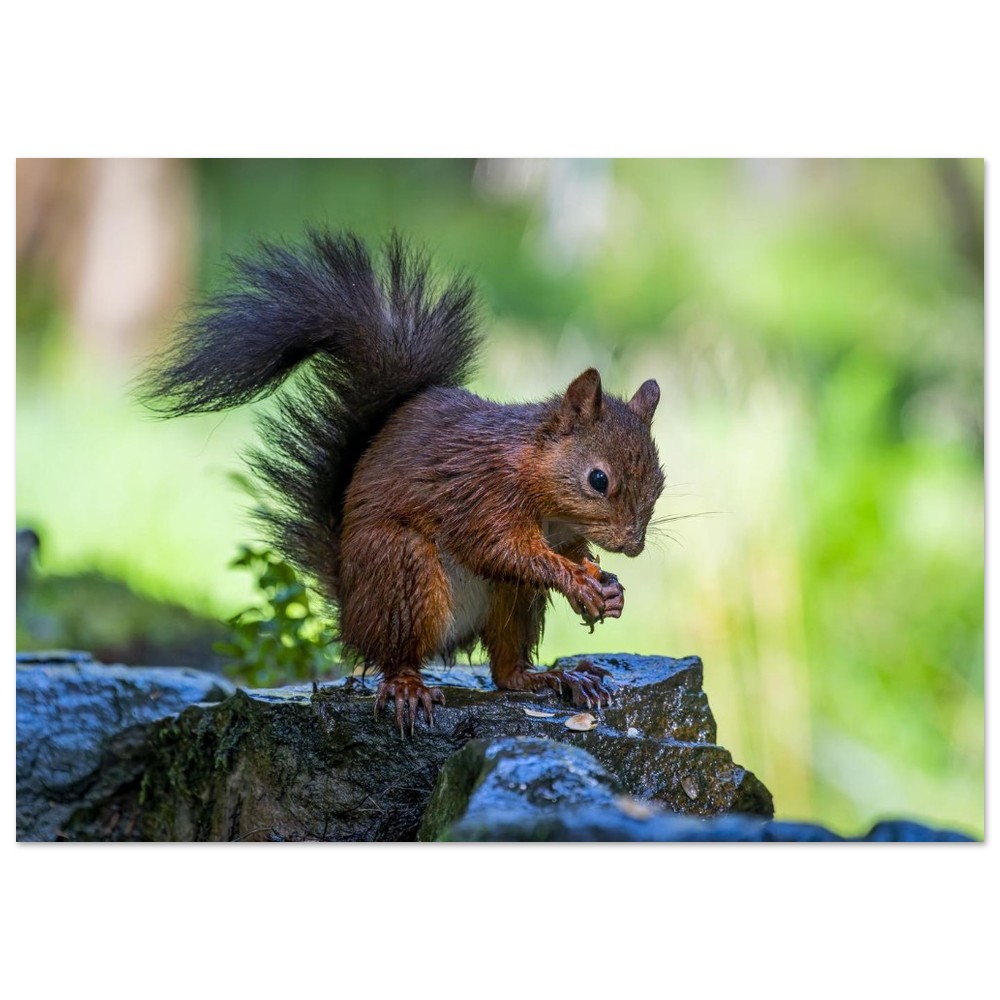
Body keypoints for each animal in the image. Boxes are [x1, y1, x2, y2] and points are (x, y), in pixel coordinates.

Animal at [140, 229, 665, 733]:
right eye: (598, 479)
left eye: (660, 482)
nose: (633, 546)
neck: (538, 482)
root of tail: (351, 611)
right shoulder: (481, 495)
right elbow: (503, 550)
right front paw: (578, 581)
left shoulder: (560, 531)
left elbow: (566, 553)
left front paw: (608, 587)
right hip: (401, 571)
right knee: (397, 655)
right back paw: (408, 687)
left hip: (511, 600)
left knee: (505, 670)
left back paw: (553, 677)